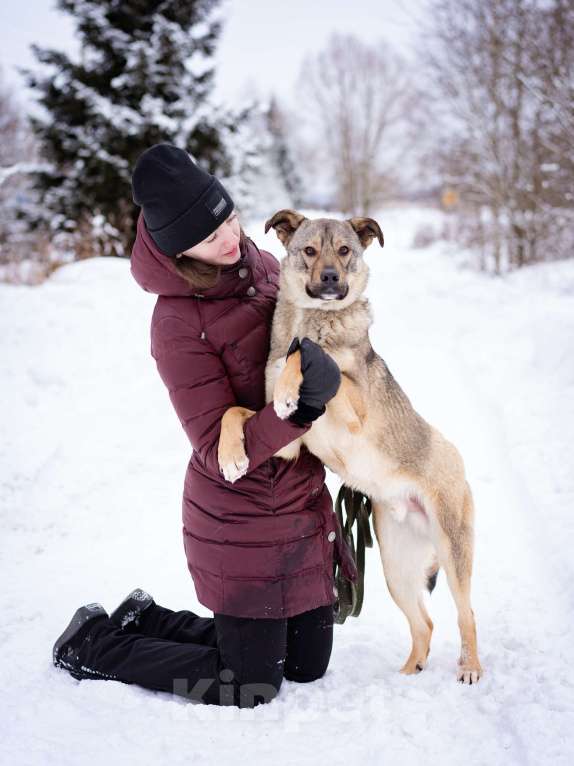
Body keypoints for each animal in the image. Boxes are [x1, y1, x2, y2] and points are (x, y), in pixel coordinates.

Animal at [218, 208, 484, 684]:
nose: (329, 277)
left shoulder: (354, 408)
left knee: (465, 612)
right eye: (309, 250)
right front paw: (230, 455)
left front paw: (293, 378)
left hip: (453, 551)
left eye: (344, 250)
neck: (315, 320)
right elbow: (236, 410)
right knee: (425, 622)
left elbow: (309, 359)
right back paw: (410, 670)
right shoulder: (285, 443)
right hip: (395, 567)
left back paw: (469, 667)